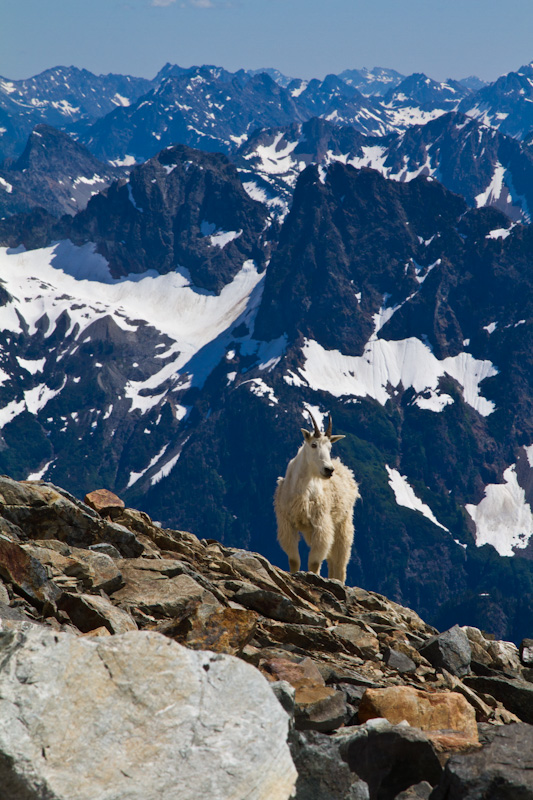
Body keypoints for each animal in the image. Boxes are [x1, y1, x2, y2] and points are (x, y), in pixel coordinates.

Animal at [274, 410, 358, 584]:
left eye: (330, 447)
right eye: (313, 445)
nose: (329, 470)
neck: (302, 489)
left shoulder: (321, 524)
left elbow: (314, 562)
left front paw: (313, 576)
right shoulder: (287, 523)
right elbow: (294, 559)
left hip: (343, 524)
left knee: (340, 561)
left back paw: (338, 581)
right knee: (332, 559)